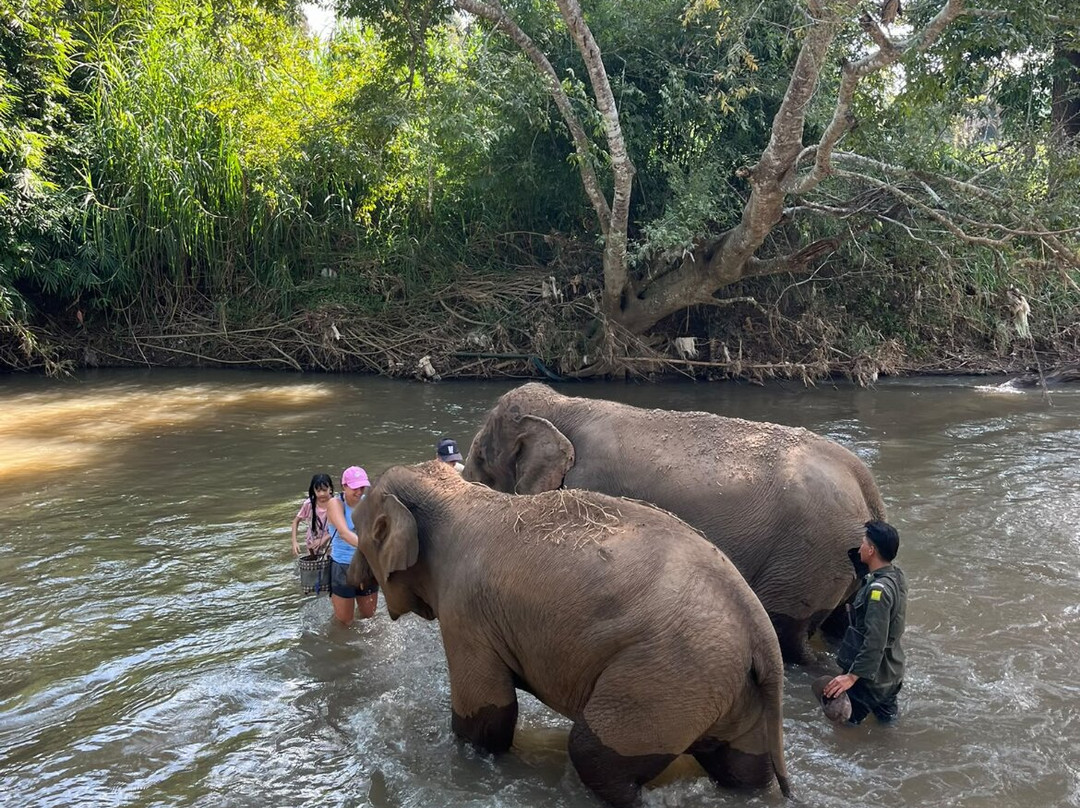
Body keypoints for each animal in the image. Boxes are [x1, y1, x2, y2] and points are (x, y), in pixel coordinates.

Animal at [346, 461, 791, 808]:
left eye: (361, 533)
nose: (350, 579)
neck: (456, 496)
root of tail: (759, 628)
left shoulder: (465, 612)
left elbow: (487, 718)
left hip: (668, 678)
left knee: (593, 755)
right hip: (727, 687)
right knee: (743, 770)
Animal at [462, 382, 886, 663]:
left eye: (482, 456)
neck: (565, 405)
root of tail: (866, 485)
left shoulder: (590, 484)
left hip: (804, 563)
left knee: (789, 637)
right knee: (840, 626)